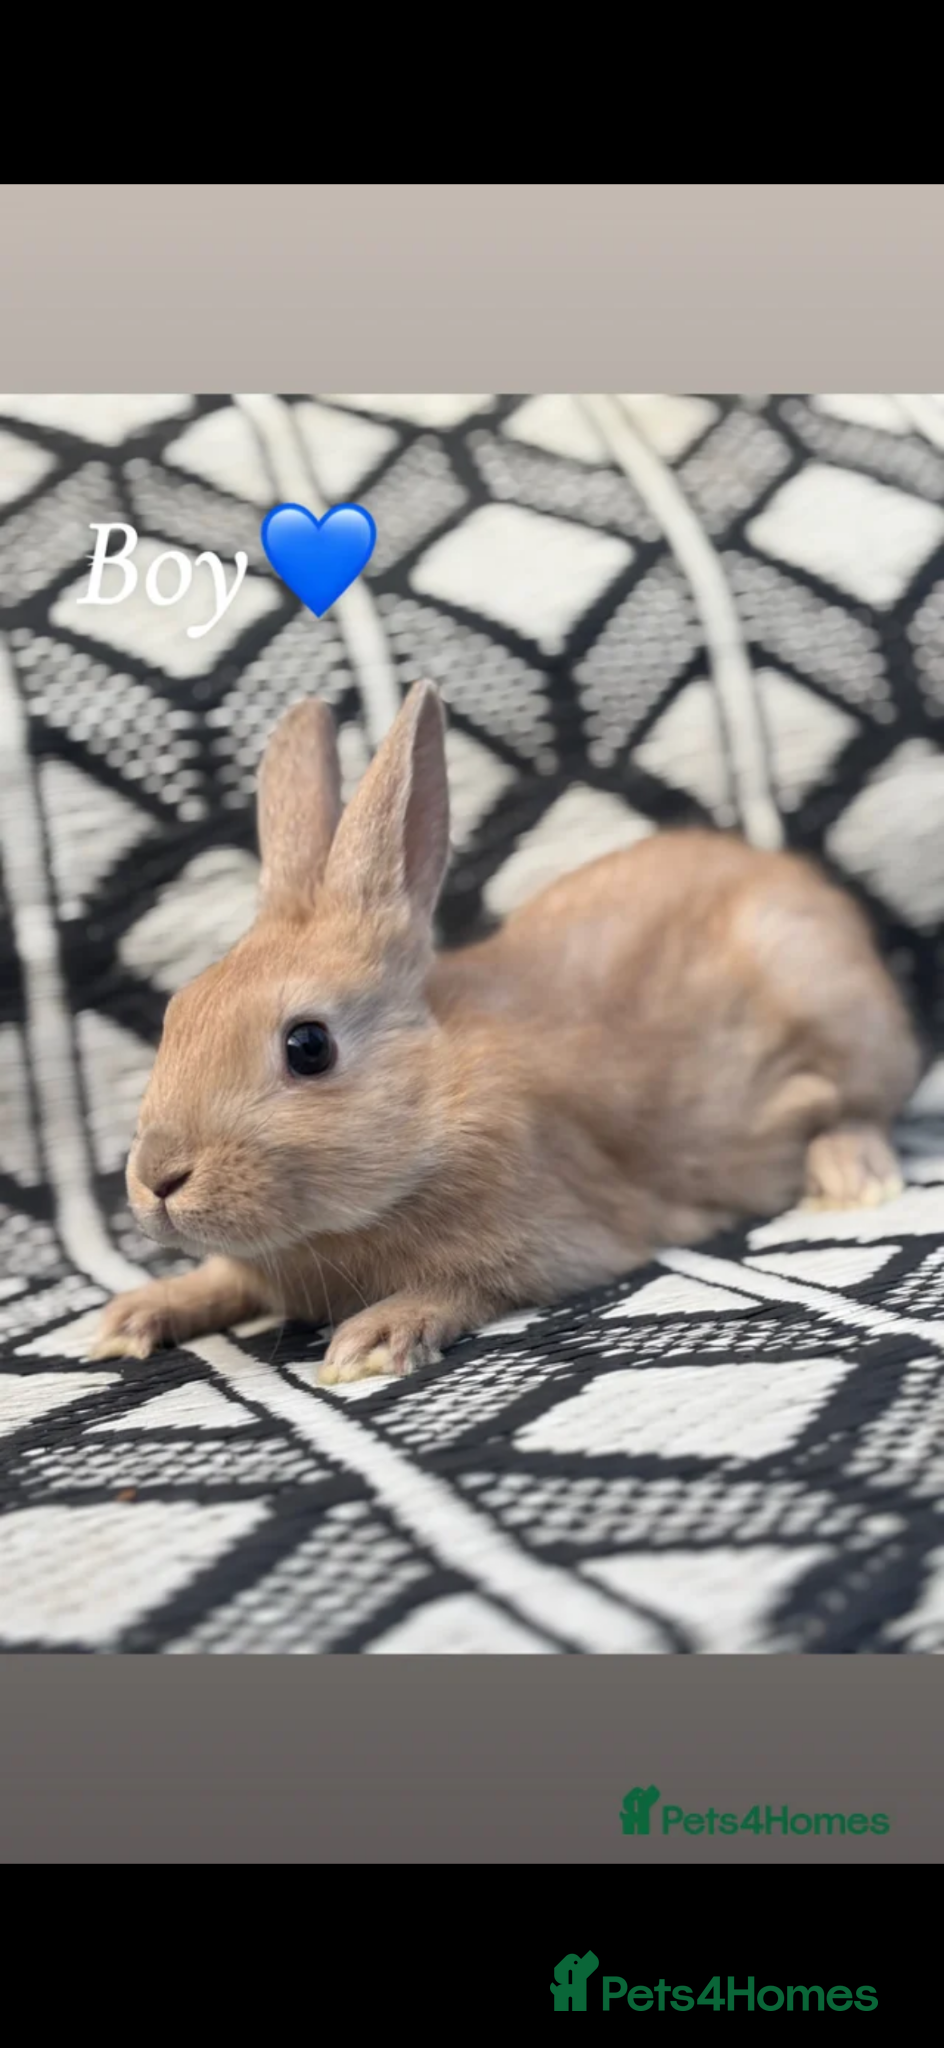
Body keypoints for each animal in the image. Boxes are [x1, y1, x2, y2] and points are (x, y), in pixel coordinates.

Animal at [89, 678, 922, 1385]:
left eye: (308, 1046)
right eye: (176, 1014)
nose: (157, 1180)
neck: (437, 1099)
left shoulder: (553, 1238)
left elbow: (470, 1286)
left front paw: (375, 1337)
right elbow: (221, 1279)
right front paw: (133, 1318)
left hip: (834, 1011)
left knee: (863, 1108)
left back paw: (851, 1176)